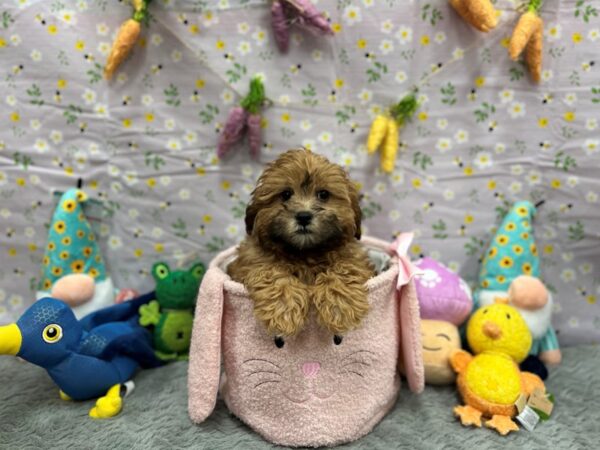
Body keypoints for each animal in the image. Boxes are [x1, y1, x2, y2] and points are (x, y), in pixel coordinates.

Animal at [227, 149, 372, 336]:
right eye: (286, 194)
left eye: (323, 194)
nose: (303, 216)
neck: (305, 252)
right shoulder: (250, 260)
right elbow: (270, 272)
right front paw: (283, 308)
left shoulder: (354, 257)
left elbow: (345, 267)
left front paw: (340, 305)